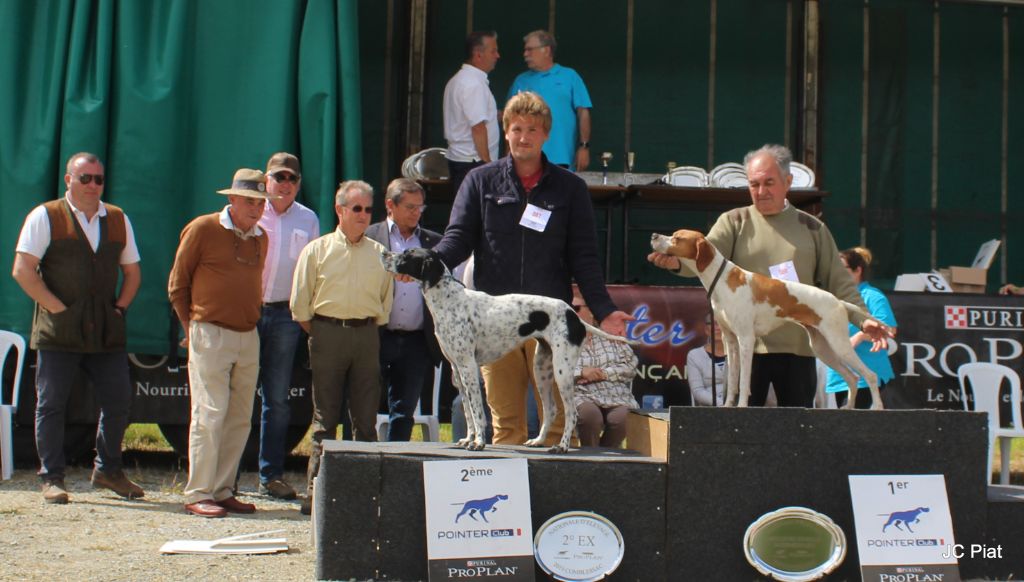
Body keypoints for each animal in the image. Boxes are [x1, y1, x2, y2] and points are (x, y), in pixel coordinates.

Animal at [380, 247, 634, 452]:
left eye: (407, 255)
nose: (384, 253)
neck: (449, 300)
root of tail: (574, 316)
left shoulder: (468, 367)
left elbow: (477, 412)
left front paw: (478, 443)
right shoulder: (457, 370)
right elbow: (469, 413)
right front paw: (468, 439)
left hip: (562, 372)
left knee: (571, 412)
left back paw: (561, 446)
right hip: (542, 369)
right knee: (551, 410)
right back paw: (538, 441)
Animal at [651, 230, 884, 409]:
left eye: (677, 238)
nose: (654, 236)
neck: (723, 280)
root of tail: (838, 301)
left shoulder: (746, 339)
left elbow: (744, 381)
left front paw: (742, 406)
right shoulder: (730, 341)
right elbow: (733, 380)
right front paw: (727, 405)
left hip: (838, 344)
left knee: (870, 375)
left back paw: (878, 408)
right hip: (823, 348)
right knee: (853, 378)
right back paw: (849, 407)